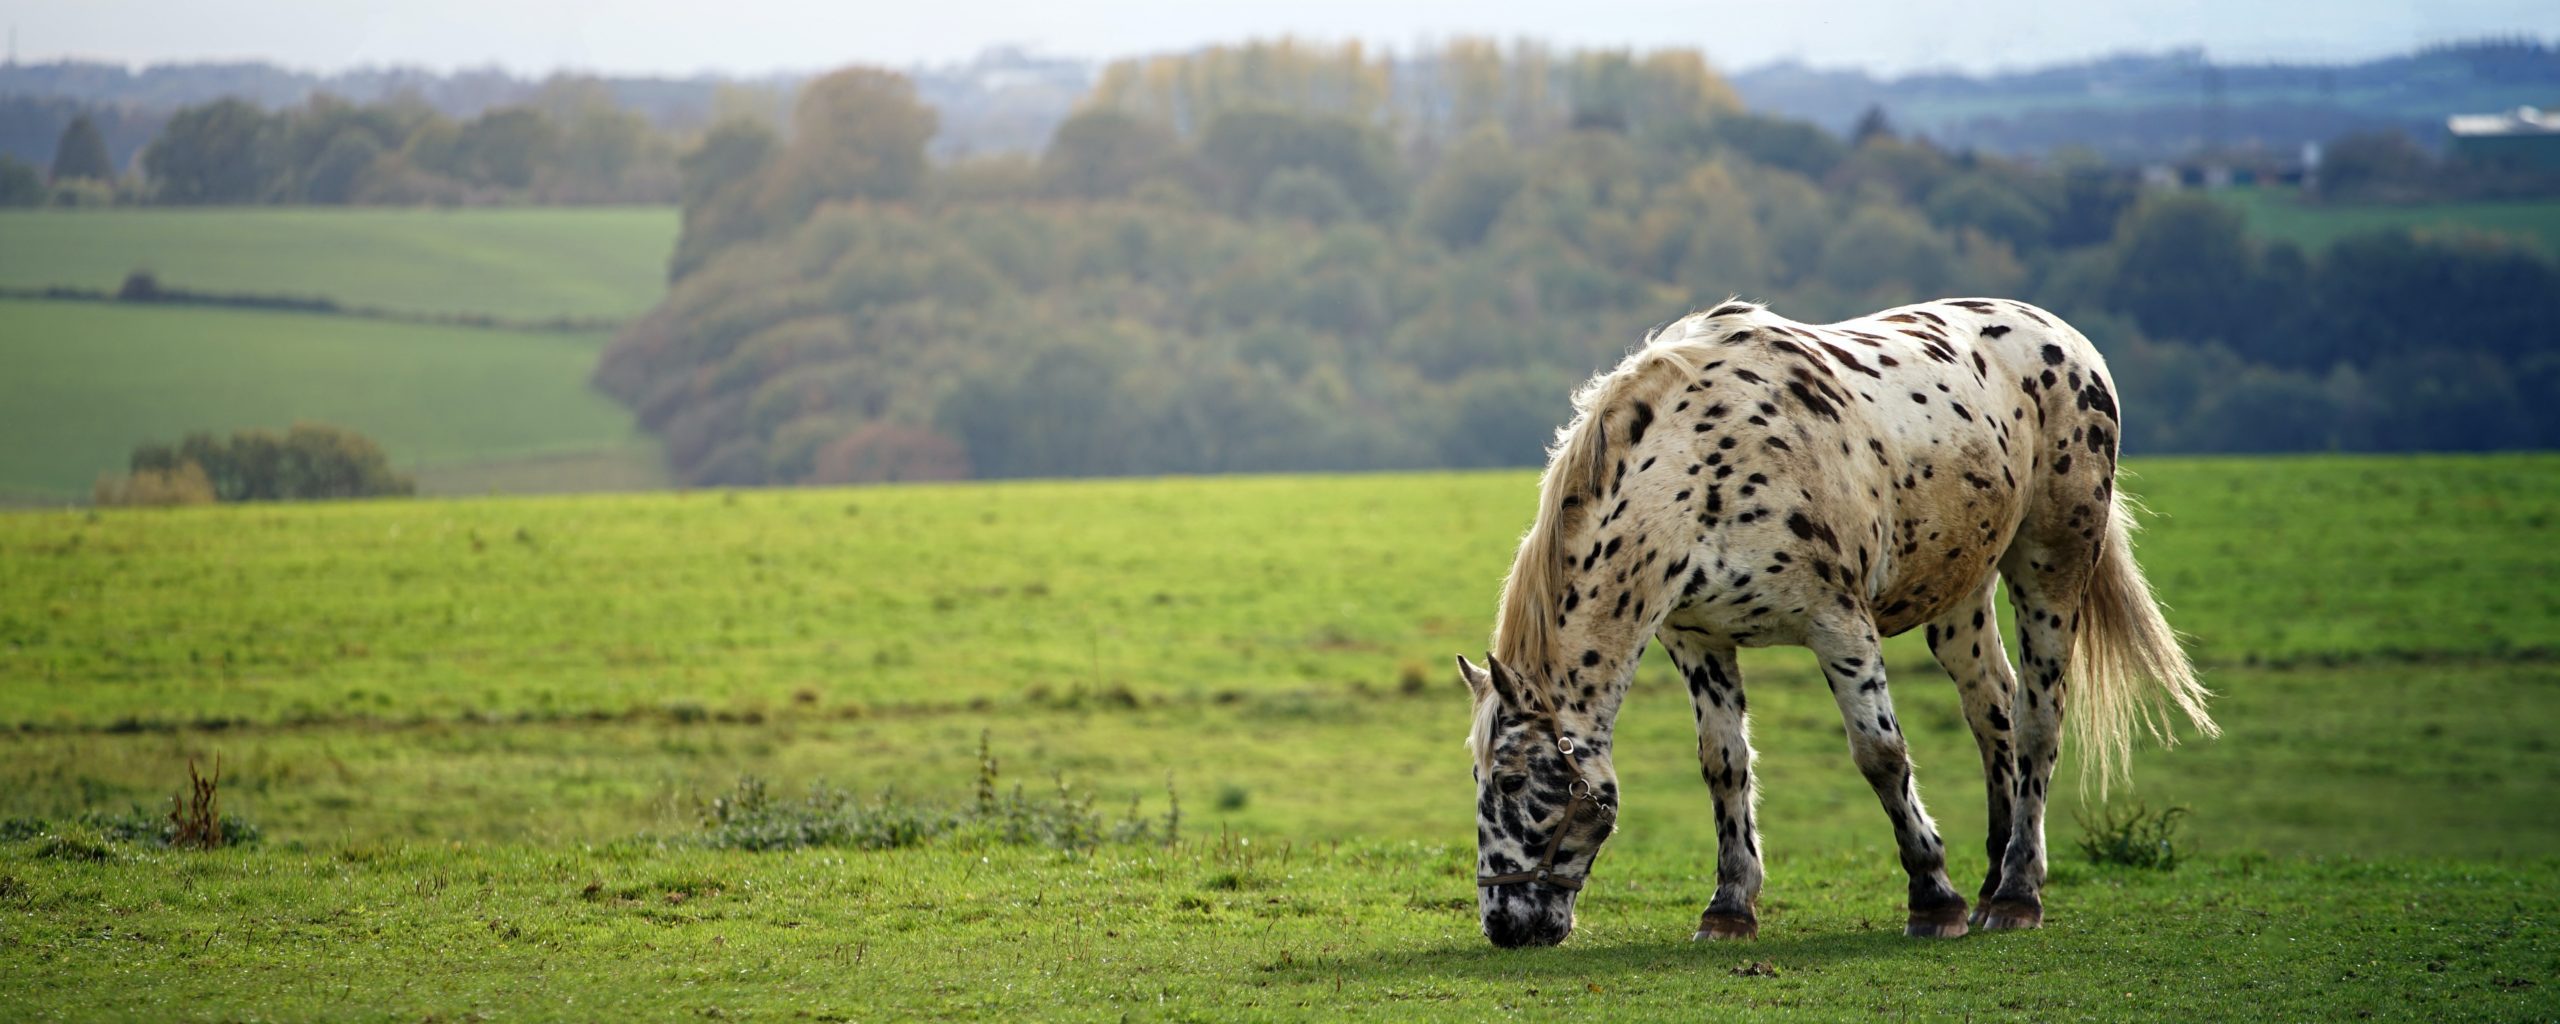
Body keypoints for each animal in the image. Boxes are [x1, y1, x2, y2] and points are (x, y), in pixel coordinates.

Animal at [1464, 294, 2222, 942]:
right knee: (1993, 712)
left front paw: (1933, 897)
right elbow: (1723, 764)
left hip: (2050, 568)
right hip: (1960, 596)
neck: (1700, 468)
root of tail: (2069, 340)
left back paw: (2015, 894)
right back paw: (1992, 878)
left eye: (1510, 781)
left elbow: (1880, 756)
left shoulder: (1839, 625)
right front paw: (1730, 907)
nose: (1503, 925)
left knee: (2038, 718)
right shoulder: (1697, 640)